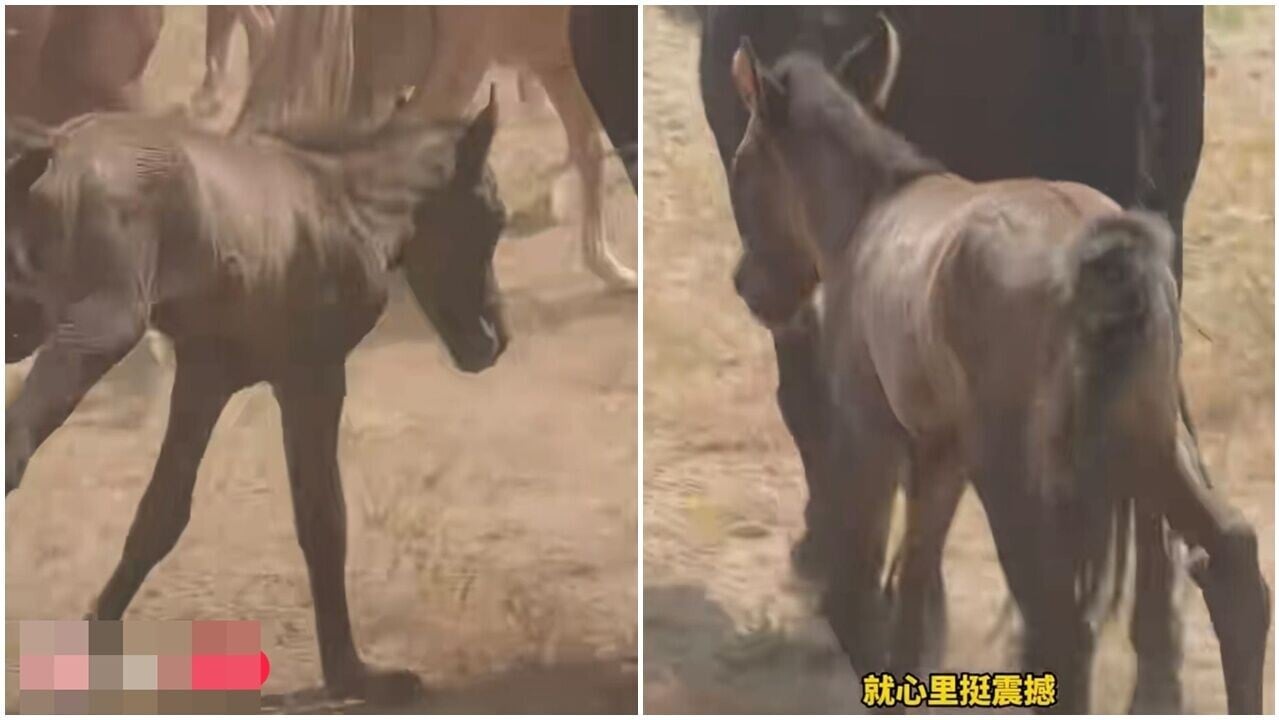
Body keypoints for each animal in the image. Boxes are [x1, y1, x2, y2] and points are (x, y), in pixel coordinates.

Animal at [6, 91, 507, 702]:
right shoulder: (312, 375)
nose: (494, 341)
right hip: (99, 331)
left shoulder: (206, 376)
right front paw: (352, 675)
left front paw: (96, 640)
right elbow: (323, 519)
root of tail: (54, 148)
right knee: (16, 449)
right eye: (495, 218)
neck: (344, 201)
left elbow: (161, 513)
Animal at [725, 44, 1268, 713]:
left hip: (1014, 472)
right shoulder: (940, 451)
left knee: (1059, 624)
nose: (747, 286)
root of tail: (1108, 261)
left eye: (741, 164)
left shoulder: (871, 430)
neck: (872, 211)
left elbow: (858, 582)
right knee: (1233, 561)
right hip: (1151, 440)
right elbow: (914, 578)